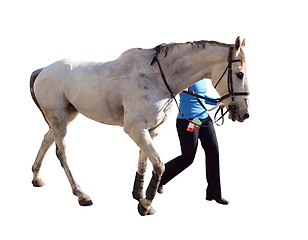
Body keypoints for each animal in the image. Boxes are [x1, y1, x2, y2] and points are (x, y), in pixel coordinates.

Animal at [30, 36, 249, 216]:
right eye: (239, 74)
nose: (244, 113)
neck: (155, 77)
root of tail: (43, 70)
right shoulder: (135, 129)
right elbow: (159, 164)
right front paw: (145, 205)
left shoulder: (151, 130)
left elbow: (144, 163)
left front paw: (139, 196)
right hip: (59, 118)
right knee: (62, 153)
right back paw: (82, 195)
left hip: (67, 115)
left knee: (47, 140)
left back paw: (36, 177)